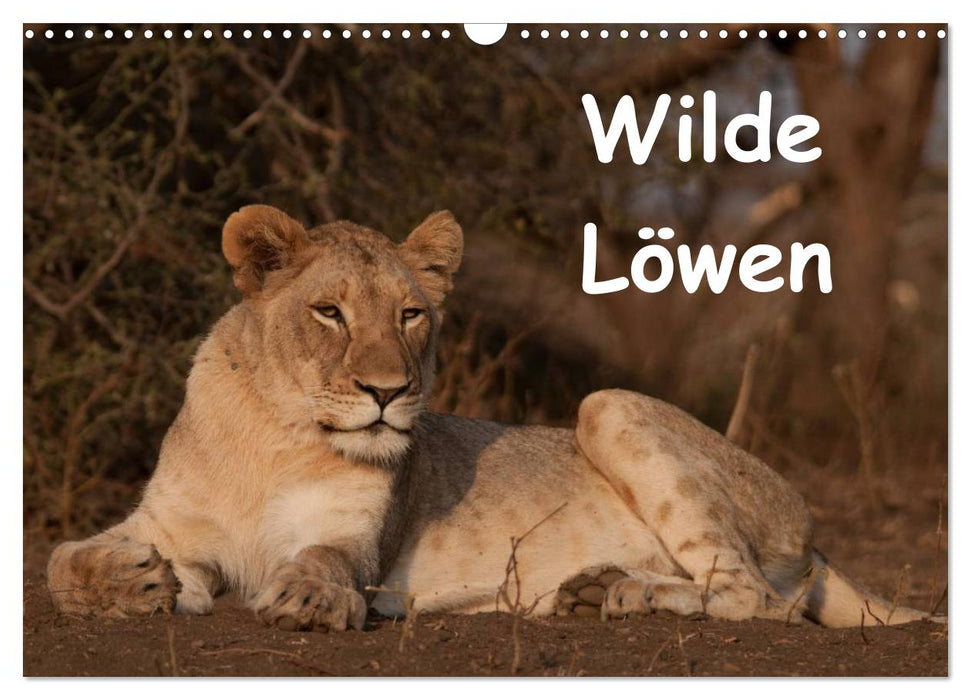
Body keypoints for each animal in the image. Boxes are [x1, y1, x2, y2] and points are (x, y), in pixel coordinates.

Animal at [47, 205, 941, 631]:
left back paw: (627, 595)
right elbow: (61, 559)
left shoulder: (356, 542)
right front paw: (132, 582)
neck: (278, 434)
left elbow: (322, 560)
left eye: (410, 314)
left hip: (608, 404)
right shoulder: (166, 522)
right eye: (329, 312)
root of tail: (812, 534)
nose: (386, 392)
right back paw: (592, 591)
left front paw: (307, 598)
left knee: (754, 597)